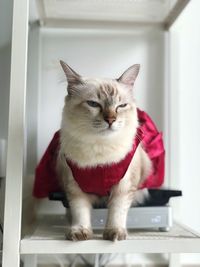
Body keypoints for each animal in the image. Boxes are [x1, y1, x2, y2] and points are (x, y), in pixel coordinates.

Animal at [56, 61, 152, 243]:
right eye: (93, 104)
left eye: (121, 106)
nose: (111, 120)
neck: (100, 149)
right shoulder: (75, 187)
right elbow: (80, 213)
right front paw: (80, 233)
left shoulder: (123, 187)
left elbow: (116, 212)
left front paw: (114, 233)